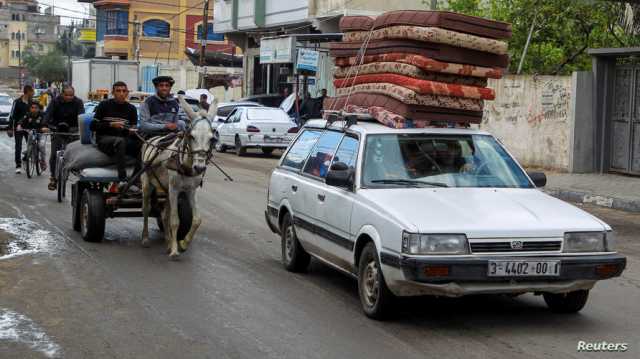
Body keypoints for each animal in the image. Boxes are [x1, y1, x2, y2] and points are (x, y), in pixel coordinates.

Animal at [141, 95, 218, 258]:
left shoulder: (191, 190)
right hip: (147, 183)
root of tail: (151, 140)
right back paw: (145, 238)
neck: (185, 165)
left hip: (167, 189)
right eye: (192, 136)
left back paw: (168, 240)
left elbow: (197, 220)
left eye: (212, 138)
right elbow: (175, 220)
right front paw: (175, 250)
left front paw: (182, 244)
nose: (199, 167)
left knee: (165, 214)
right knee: (146, 209)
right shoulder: (175, 189)